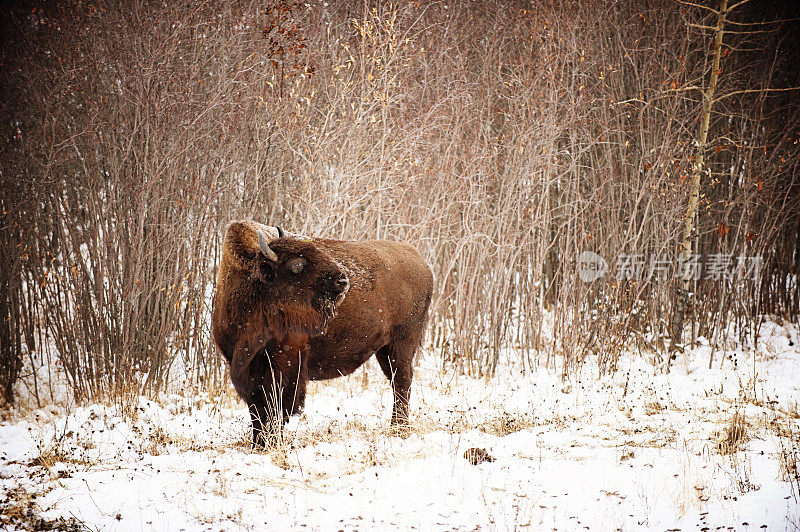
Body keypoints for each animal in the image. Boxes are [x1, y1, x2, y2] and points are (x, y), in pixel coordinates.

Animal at [209, 220, 428, 444]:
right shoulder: (245, 365)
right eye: (296, 264)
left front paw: (272, 441)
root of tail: (421, 261)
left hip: (402, 343)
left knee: (402, 380)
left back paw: (399, 428)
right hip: (384, 349)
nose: (342, 281)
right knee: (396, 380)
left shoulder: (286, 362)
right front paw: (259, 443)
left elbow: (277, 405)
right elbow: (258, 408)